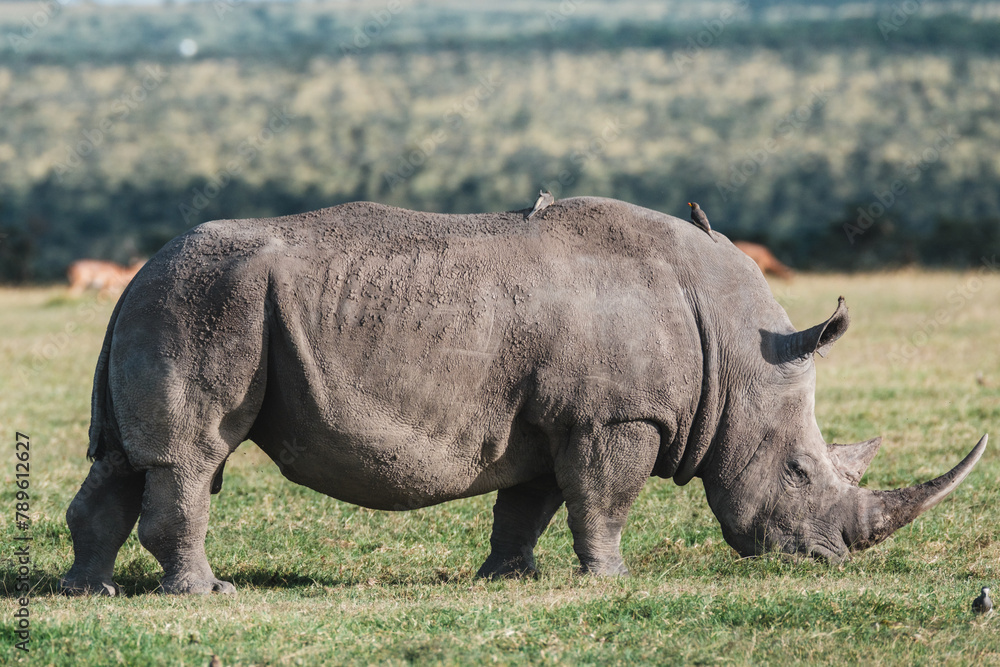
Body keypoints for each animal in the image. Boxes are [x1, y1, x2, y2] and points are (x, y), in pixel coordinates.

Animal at [61, 197, 987, 595]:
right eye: (798, 471)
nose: (828, 559)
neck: (732, 351)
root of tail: (134, 275)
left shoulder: (556, 417)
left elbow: (533, 503)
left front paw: (510, 576)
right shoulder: (617, 415)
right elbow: (604, 500)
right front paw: (610, 578)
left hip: (170, 305)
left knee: (123, 459)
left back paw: (86, 591)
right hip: (206, 304)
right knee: (190, 457)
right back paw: (205, 594)